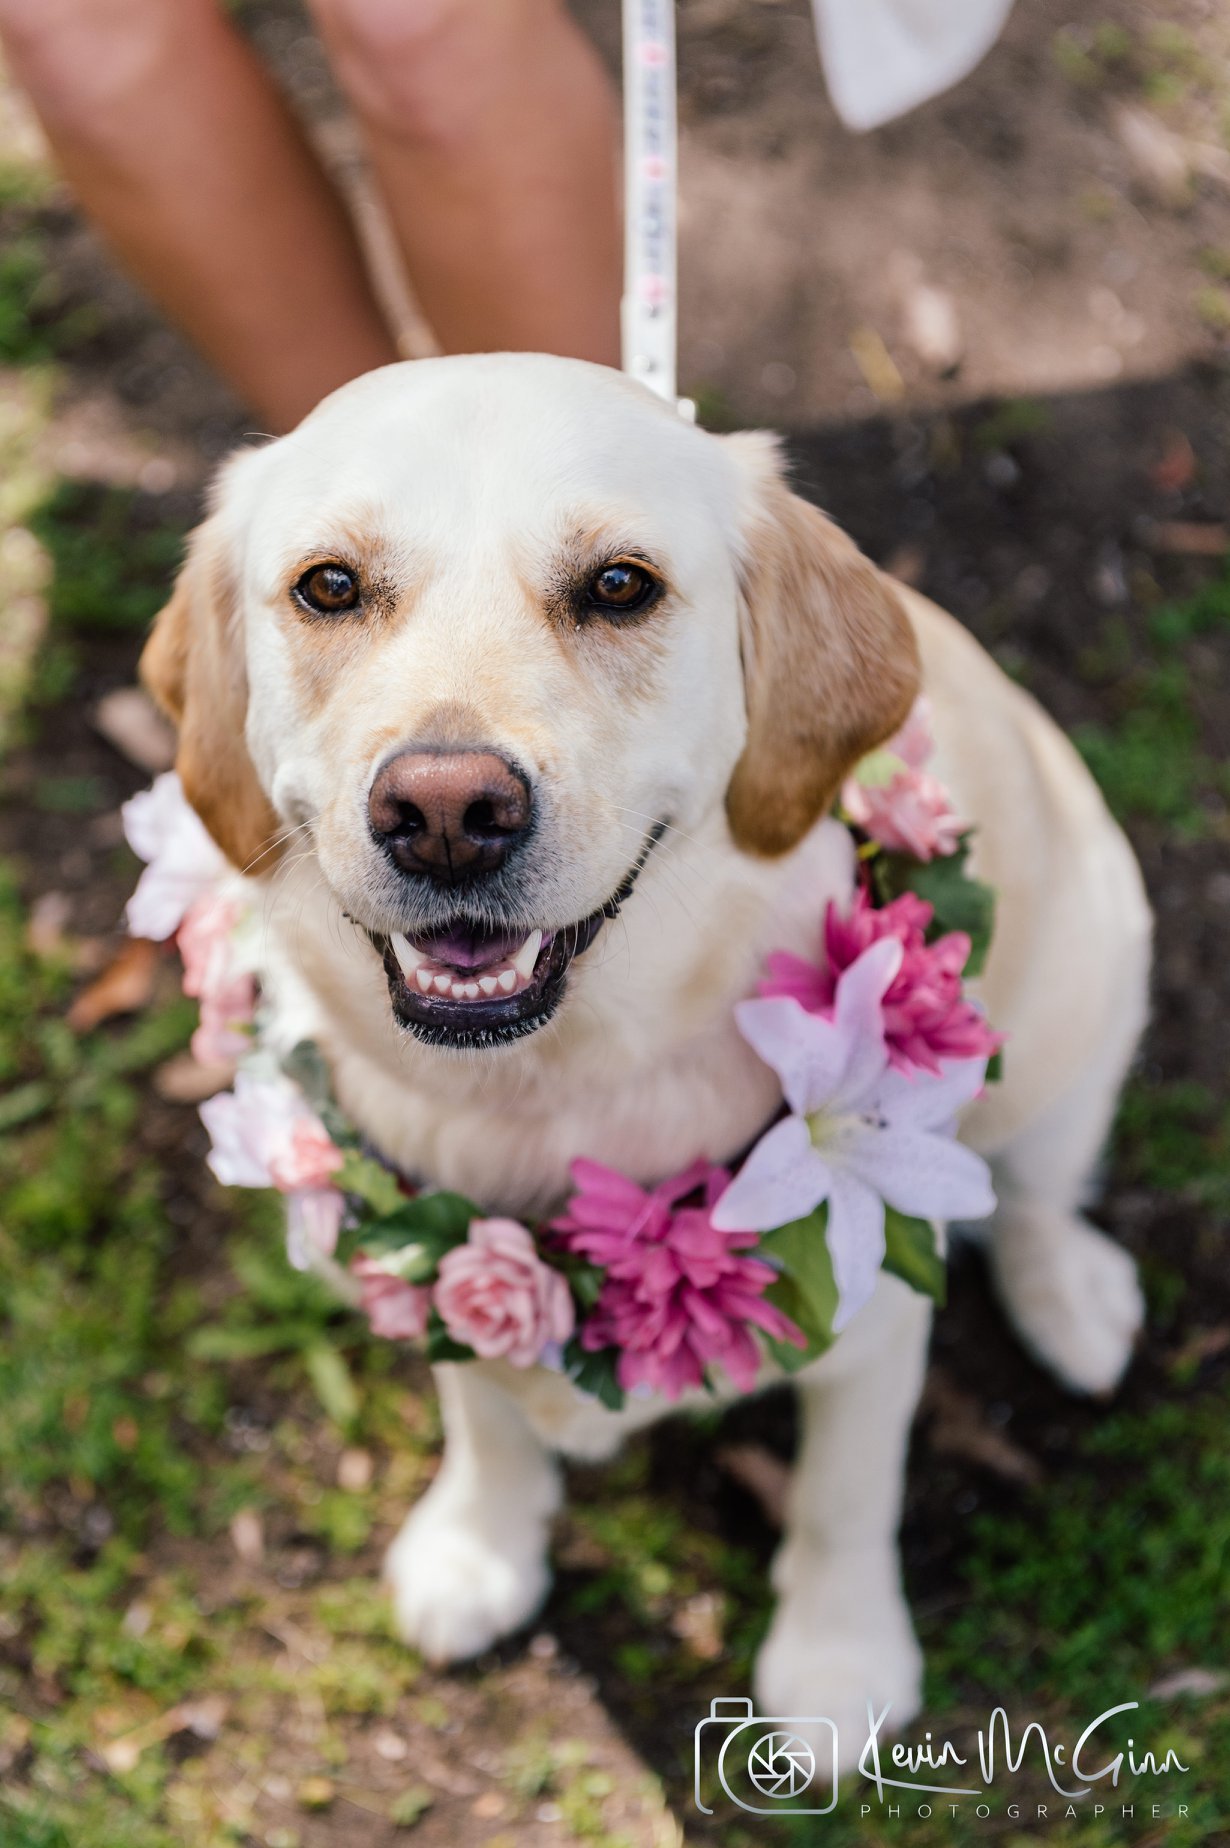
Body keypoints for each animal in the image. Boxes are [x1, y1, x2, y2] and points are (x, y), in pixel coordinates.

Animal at [144, 349, 1152, 1759]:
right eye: (329, 586)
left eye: (619, 586)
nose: (444, 814)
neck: (555, 1082)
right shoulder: (436, 1235)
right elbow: (486, 1410)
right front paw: (479, 1548)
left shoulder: (877, 1308)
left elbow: (844, 1493)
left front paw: (839, 1662)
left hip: (1089, 971)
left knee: (1046, 1181)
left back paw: (1075, 1300)